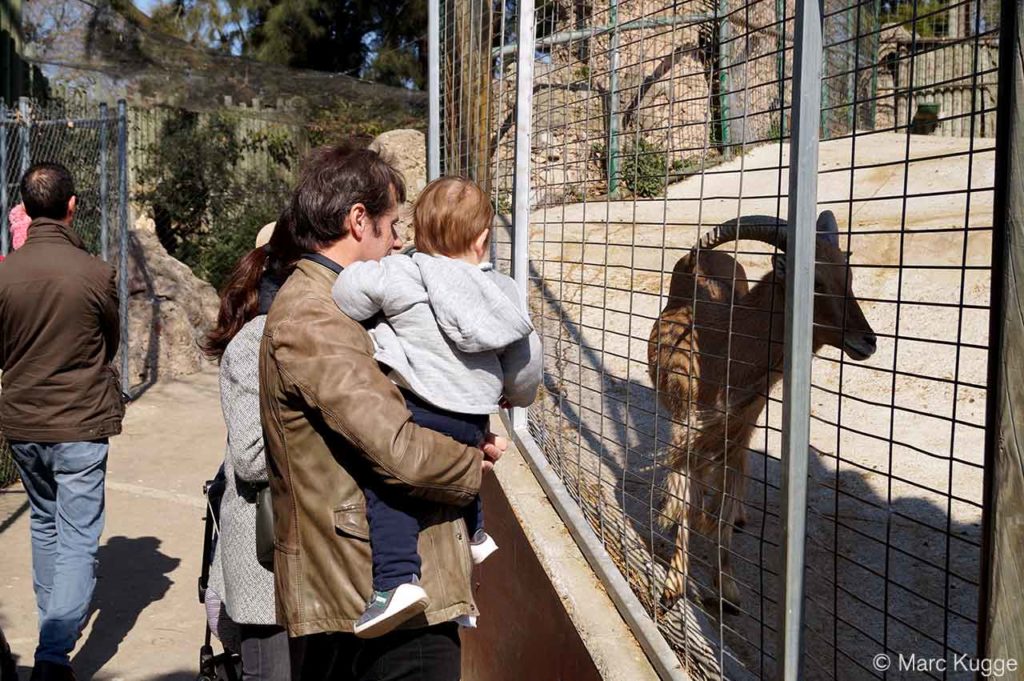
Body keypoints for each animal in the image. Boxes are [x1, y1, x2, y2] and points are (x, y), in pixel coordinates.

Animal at [651, 208, 876, 610]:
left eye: (847, 276)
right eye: (816, 282)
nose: (867, 341)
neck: (723, 349)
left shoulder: (741, 425)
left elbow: (724, 505)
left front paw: (726, 589)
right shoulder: (687, 427)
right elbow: (687, 503)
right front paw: (673, 587)